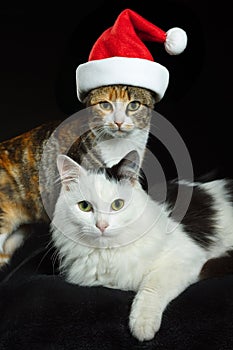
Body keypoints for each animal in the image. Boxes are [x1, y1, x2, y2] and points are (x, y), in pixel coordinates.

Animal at [51, 150, 233, 342]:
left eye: (117, 204)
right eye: (85, 206)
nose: (102, 225)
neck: (110, 252)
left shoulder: (184, 257)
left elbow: (150, 287)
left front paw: (142, 325)